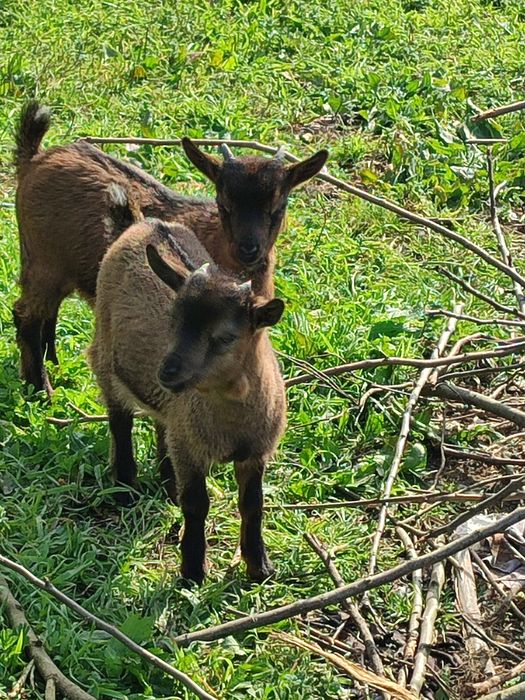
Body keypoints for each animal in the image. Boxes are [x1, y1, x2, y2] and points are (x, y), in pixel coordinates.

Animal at [13, 101, 327, 396]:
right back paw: (42, 390)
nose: (248, 249)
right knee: (26, 316)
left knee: (47, 314)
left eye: (279, 207)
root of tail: (35, 157)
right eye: (223, 203)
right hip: (45, 263)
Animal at [88, 217, 286, 584]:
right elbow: (196, 504)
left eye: (225, 337)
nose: (166, 372)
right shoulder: (192, 451)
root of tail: (148, 223)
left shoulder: (255, 452)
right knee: (120, 421)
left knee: (161, 423)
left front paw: (260, 568)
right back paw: (124, 488)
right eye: (173, 321)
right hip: (105, 358)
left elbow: (252, 504)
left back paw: (166, 481)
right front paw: (192, 571)